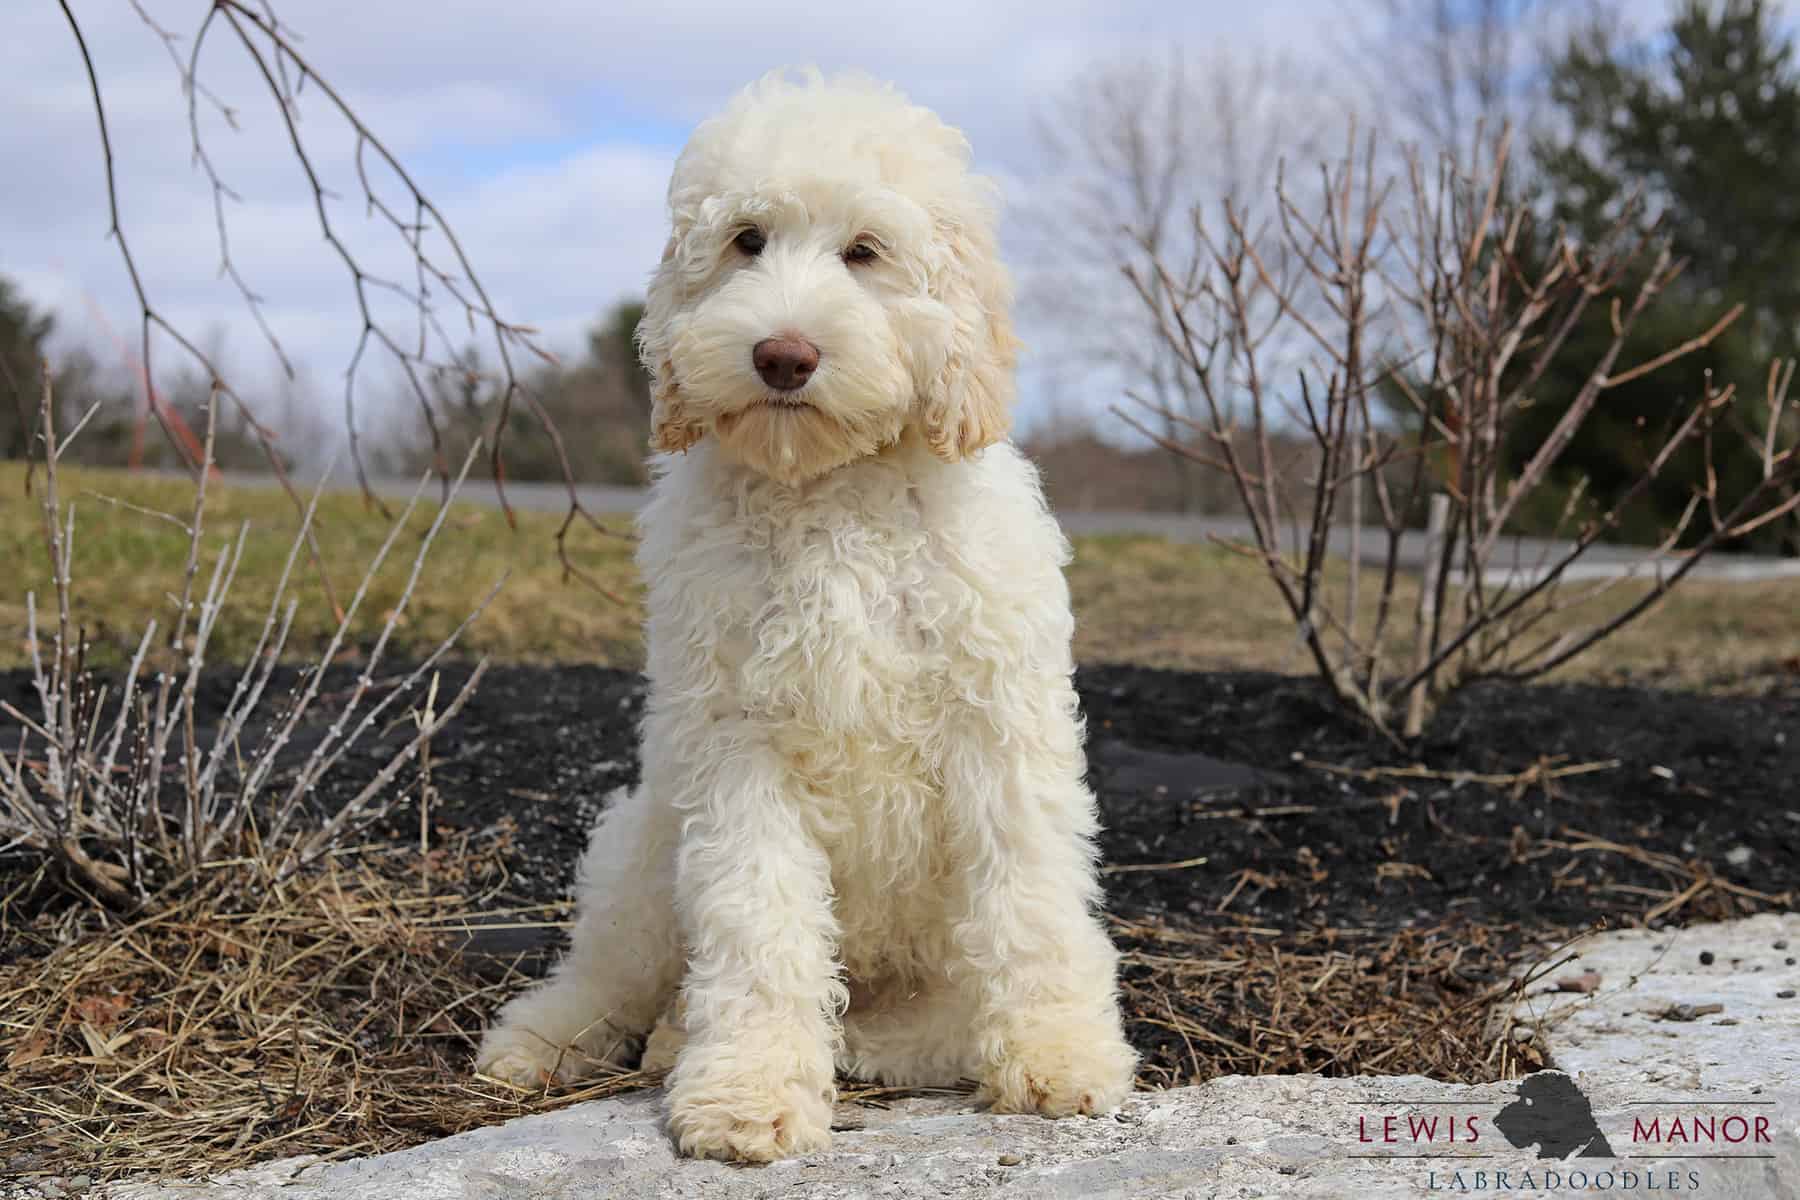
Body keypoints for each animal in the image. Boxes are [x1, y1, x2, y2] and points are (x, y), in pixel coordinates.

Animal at [471, 65, 1130, 1165]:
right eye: (747, 239)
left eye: (864, 252)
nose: (783, 354)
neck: (829, 491)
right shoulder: (737, 743)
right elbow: (758, 921)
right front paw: (746, 1090)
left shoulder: (999, 722)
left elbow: (1030, 895)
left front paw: (1060, 1050)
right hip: (646, 841)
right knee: (612, 968)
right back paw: (561, 1040)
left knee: (921, 1023)